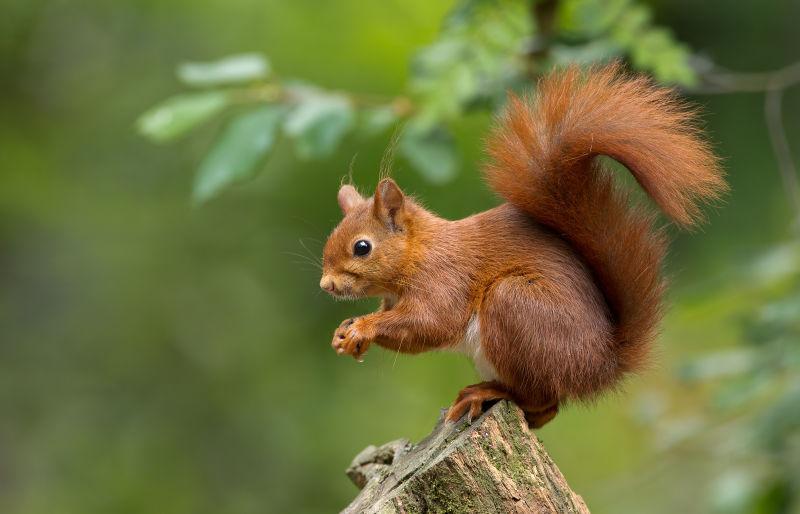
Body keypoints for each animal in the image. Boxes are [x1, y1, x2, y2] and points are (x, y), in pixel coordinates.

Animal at [318, 62, 724, 426]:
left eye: (362, 247)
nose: (326, 285)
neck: (419, 253)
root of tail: (600, 366)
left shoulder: (445, 278)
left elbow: (431, 323)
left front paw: (363, 327)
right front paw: (344, 332)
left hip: (515, 306)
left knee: (541, 399)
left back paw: (486, 392)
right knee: (546, 411)